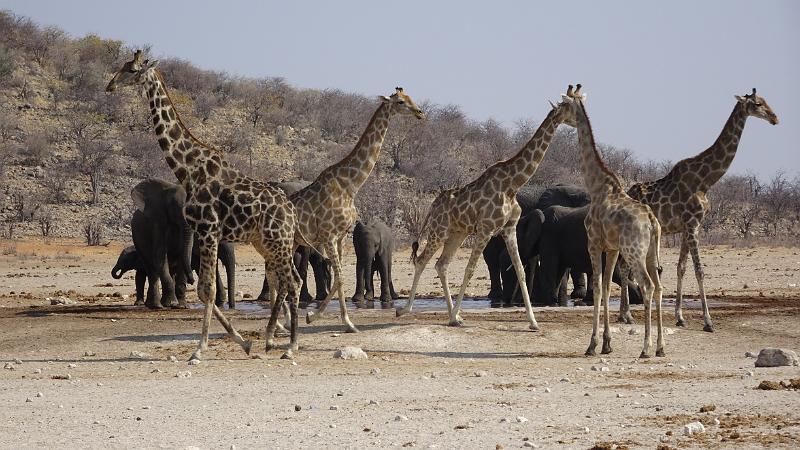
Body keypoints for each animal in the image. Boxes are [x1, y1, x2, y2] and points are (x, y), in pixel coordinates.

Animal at [106, 52, 306, 360]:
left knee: (292, 282)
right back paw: (277, 341)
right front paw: (243, 343)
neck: (187, 170)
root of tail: (291, 212)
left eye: (131, 69)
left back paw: (291, 347)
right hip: (267, 242)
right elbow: (203, 290)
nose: (110, 85)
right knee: (288, 280)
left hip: (278, 241)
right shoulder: (204, 232)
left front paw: (199, 350)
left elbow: (207, 290)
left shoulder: (208, 229)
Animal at [298, 89, 424, 334]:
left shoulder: (340, 236)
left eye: (410, 97)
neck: (350, 185)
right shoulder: (328, 235)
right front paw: (346, 323)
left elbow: (339, 278)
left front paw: (313, 316)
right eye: (400, 102)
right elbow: (339, 278)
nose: (420, 112)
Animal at [396, 86, 580, 328]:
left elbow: (519, 270)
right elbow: (469, 270)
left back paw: (454, 317)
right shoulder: (485, 229)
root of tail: (433, 206)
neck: (512, 183)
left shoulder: (509, 228)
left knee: (441, 265)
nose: (580, 122)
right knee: (421, 260)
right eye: (571, 107)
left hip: (457, 233)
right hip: (439, 230)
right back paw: (406, 310)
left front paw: (533, 322)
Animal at [568, 84, 668, 356]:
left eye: (563, 105)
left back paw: (645, 348)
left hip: (634, 251)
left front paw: (592, 345)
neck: (597, 187)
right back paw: (660, 347)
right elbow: (604, 285)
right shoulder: (611, 248)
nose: (557, 116)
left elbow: (598, 286)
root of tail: (652, 221)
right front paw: (606, 344)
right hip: (650, 252)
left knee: (648, 286)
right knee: (659, 286)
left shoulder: (593, 243)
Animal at [620, 90, 780, 330]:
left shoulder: (689, 227)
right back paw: (627, 314)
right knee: (623, 266)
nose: (775, 118)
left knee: (624, 266)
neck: (705, 180)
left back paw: (624, 314)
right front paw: (708, 321)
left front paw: (680, 317)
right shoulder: (692, 224)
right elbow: (700, 270)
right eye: (758, 103)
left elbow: (682, 267)